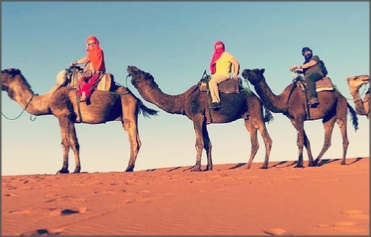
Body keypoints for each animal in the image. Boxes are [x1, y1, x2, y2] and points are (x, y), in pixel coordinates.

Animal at [1, 67, 158, 173]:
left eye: (4, 71)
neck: (48, 99)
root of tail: (135, 96)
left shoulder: (62, 115)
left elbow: (65, 142)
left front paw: (62, 169)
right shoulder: (71, 118)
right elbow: (75, 143)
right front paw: (76, 169)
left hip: (129, 110)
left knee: (135, 141)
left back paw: (128, 168)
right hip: (125, 117)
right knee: (133, 139)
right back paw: (128, 167)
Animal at [126, 65, 274, 171]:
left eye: (140, 72)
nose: (129, 67)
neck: (182, 100)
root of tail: (258, 99)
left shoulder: (197, 117)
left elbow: (199, 143)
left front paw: (196, 168)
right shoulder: (204, 120)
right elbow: (208, 143)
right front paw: (208, 167)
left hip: (256, 113)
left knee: (267, 139)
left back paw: (264, 165)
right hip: (247, 118)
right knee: (254, 142)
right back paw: (247, 166)